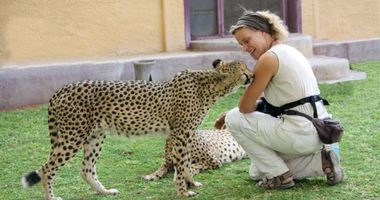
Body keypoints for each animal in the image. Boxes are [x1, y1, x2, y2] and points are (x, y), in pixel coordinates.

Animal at [20, 59, 252, 198]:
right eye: (243, 69)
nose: (251, 74)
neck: (210, 85)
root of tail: (62, 88)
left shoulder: (179, 135)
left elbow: (184, 164)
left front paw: (191, 184)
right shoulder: (180, 134)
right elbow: (182, 164)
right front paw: (183, 191)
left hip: (95, 135)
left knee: (86, 169)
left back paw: (105, 192)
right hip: (73, 136)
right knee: (47, 169)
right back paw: (52, 197)